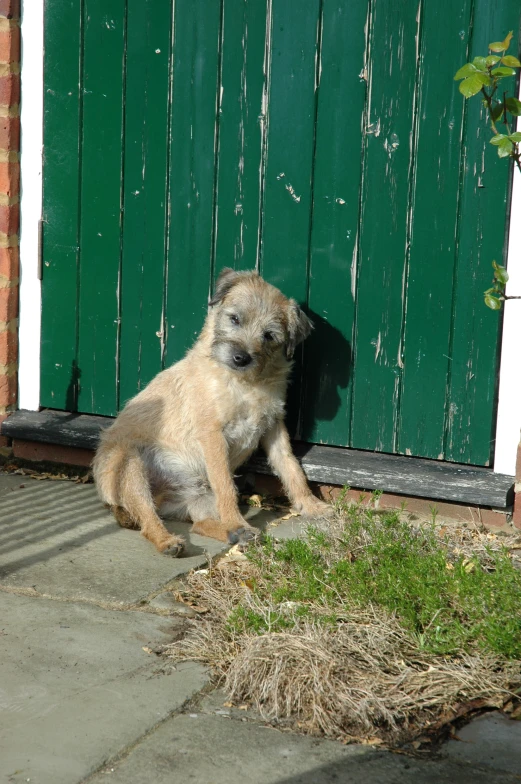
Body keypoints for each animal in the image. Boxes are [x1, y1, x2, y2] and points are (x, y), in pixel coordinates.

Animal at [92, 270, 330, 556]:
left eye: (269, 335)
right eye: (234, 318)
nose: (241, 358)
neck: (246, 383)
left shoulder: (274, 428)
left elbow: (291, 468)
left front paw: (311, 505)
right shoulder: (213, 436)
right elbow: (226, 485)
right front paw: (237, 520)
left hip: (200, 498)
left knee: (199, 524)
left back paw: (235, 533)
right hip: (129, 464)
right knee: (148, 519)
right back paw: (171, 541)